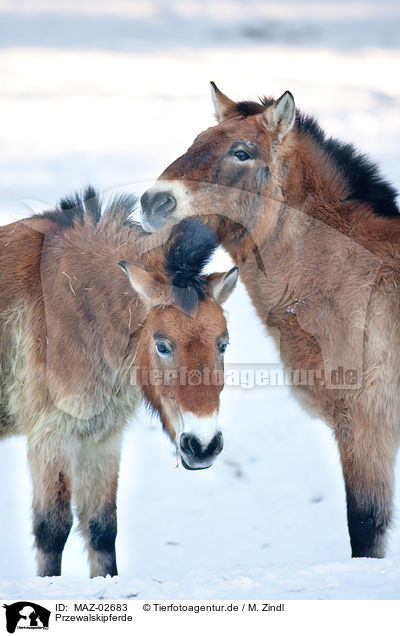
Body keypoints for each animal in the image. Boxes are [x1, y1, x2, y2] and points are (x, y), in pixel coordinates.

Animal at [0, 186, 238, 580]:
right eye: (162, 344)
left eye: (223, 343)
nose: (202, 446)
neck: (77, 304)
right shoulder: (51, 436)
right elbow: (52, 530)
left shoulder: (102, 438)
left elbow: (101, 529)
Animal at [140, 85, 400, 560]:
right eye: (196, 141)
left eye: (242, 152)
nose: (153, 202)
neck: (356, 275)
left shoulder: (366, 428)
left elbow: (365, 529)